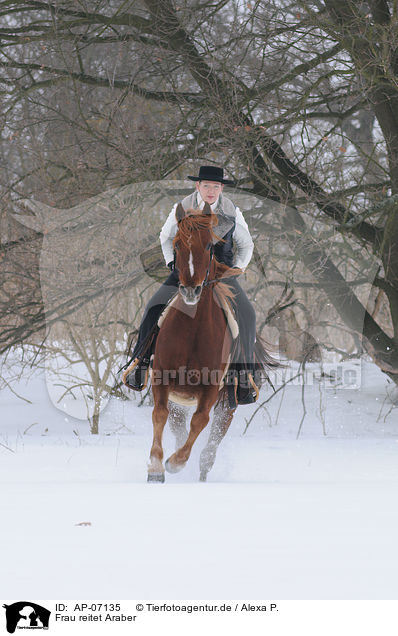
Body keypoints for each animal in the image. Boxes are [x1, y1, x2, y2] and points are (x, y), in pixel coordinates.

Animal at [146, 201, 280, 480]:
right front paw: (155, 466)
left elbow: (200, 421)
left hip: (228, 403)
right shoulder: (162, 377)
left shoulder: (210, 389)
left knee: (208, 450)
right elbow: (159, 414)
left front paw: (175, 462)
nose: (190, 290)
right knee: (178, 428)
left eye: (209, 245)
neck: (193, 331)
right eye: (176, 244)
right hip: (180, 401)